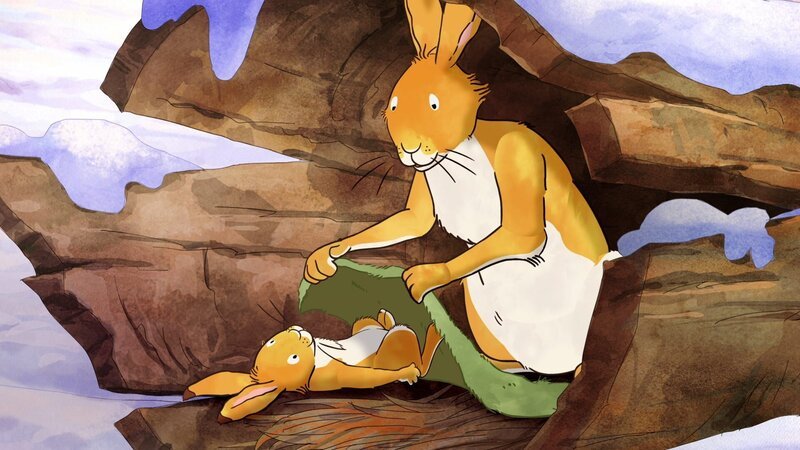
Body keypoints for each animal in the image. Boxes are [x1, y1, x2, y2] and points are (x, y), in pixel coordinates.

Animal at [183, 309, 443, 423]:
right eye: (293, 358)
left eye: (272, 341)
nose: (297, 330)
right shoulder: (338, 376)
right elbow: (366, 377)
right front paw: (406, 372)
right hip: (395, 346)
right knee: (412, 352)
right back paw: (432, 334)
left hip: (365, 327)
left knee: (375, 324)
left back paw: (385, 317)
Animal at [305, 0, 620, 376]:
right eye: (393, 105)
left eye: (434, 104)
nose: (409, 149)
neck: (456, 156)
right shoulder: (425, 177)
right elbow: (414, 220)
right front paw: (326, 255)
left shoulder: (517, 153)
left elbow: (523, 233)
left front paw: (424, 277)